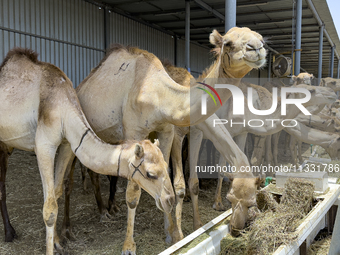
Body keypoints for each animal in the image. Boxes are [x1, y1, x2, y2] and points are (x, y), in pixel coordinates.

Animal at [0, 48, 175, 255]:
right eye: (150, 174)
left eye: (166, 166)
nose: (170, 200)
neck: (63, 106)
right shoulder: (44, 145)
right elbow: (49, 208)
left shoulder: (67, 145)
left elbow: (56, 193)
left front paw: (58, 241)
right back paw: (9, 233)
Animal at [59, 26, 266, 247]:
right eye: (228, 43)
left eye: (252, 202)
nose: (257, 48)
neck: (159, 95)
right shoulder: (142, 133)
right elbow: (137, 193)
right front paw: (131, 245)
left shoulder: (171, 132)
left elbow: (174, 180)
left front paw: (176, 233)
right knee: (70, 181)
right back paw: (70, 229)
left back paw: (106, 210)